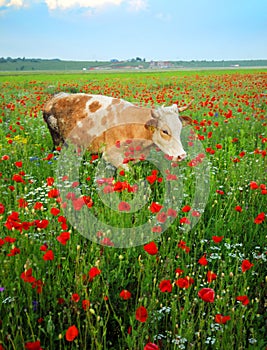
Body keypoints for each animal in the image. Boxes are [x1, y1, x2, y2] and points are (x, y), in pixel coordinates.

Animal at [42, 93, 193, 168]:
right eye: (164, 131)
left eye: (180, 128)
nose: (182, 155)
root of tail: (57, 97)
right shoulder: (111, 155)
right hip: (57, 140)